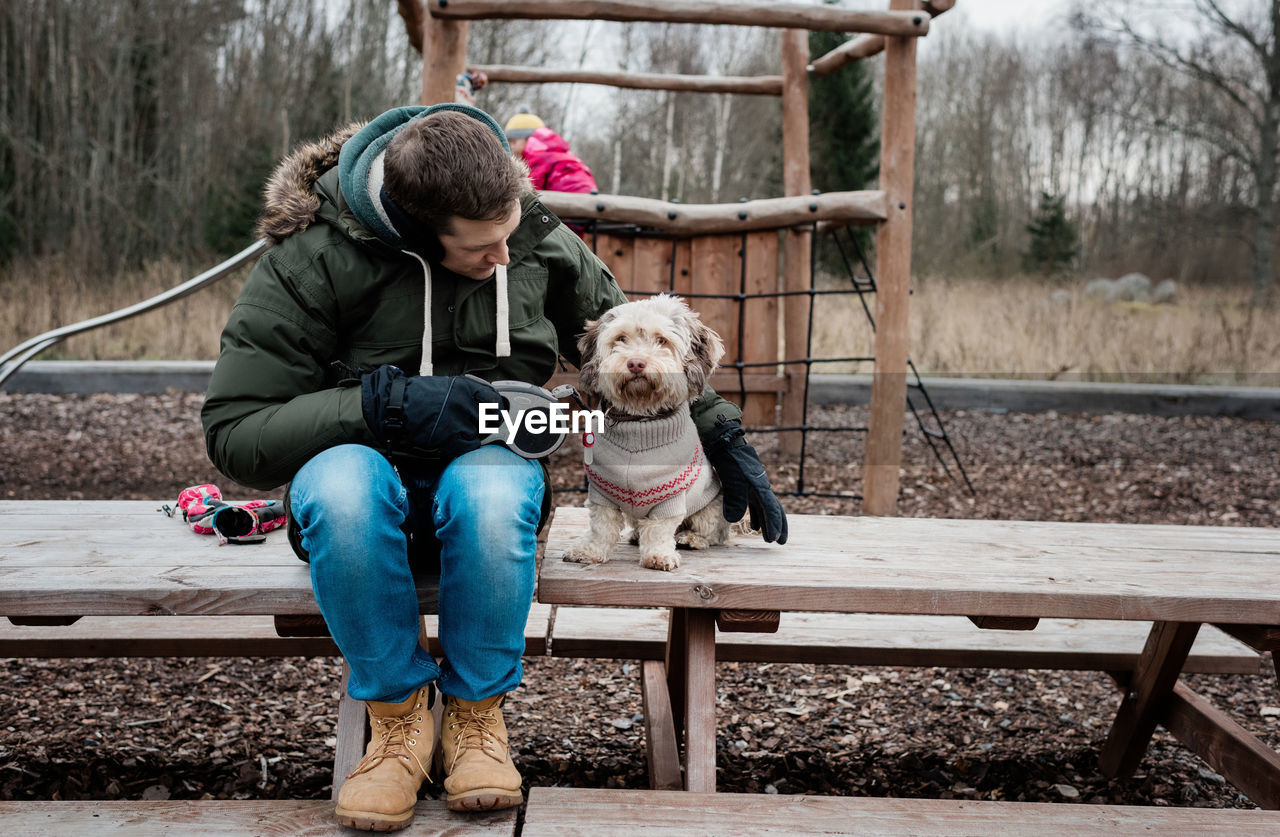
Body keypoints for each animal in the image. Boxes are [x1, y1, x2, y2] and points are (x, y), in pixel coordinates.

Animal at [568, 291, 737, 573]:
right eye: (621, 338)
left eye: (661, 340)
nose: (636, 363)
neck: (639, 422)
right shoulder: (601, 492)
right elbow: (601, 526)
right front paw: (590, 551)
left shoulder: (670, 498)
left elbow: (660, 529)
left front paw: (658, 556)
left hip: (710, 509)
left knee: (713, 533)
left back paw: (691, 538)